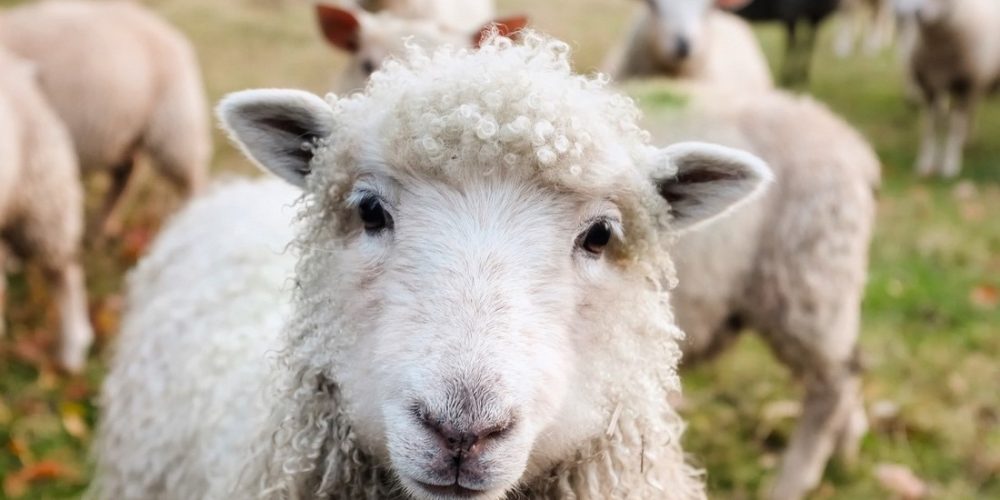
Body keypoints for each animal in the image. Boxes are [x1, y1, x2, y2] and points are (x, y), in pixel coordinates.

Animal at [899, 0, 1000, 178]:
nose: (917, 14)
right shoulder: (929, 87)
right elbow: (930, 126)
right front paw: (926, 164)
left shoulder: (963, 86)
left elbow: (955, 126)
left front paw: (950, 166)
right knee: (972, 110)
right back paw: (968, 141)